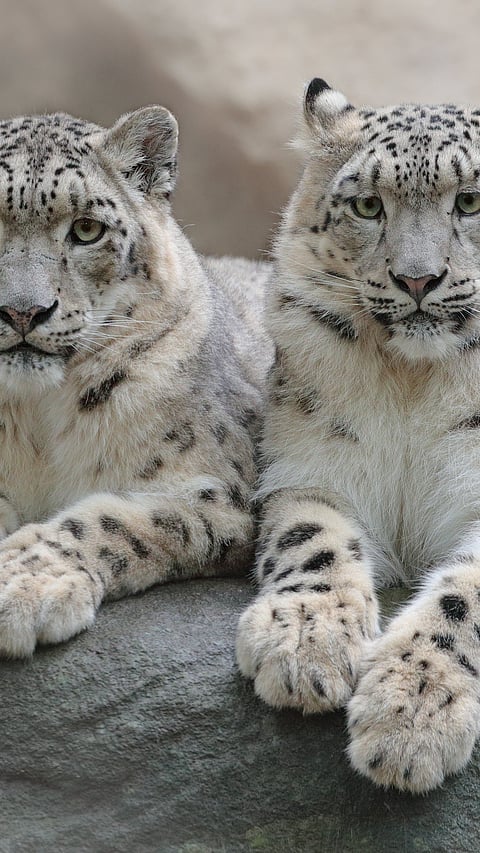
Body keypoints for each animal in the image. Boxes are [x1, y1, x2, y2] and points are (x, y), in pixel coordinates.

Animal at [0, 105, 272, 659]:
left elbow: (114, 520)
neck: (34, 421)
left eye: (86, 229)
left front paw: (24, 585)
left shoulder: (221, 490)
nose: (23, 312)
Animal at [236, 78, 480, 794]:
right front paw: (302, 642)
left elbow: (463, 598)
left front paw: (412, 713)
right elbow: (312, 538)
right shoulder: (309, 468)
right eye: (369, 205)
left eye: (471, 199)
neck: (415, 382)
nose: (418, 279)